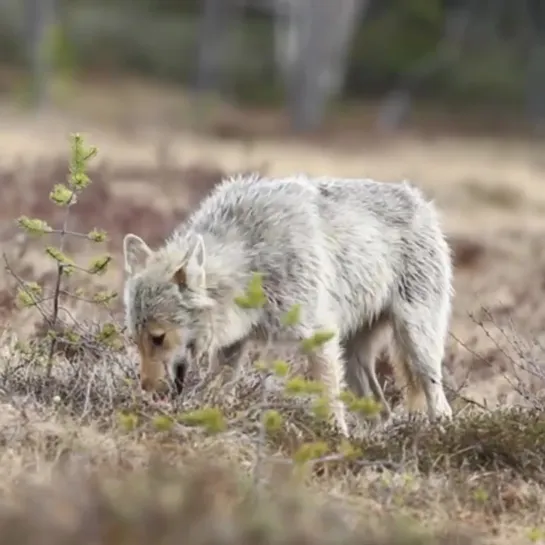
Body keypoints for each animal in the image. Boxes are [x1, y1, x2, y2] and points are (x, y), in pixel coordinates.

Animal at [121, 172, 452, 436]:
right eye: (137, 340)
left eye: (158, 338)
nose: (147, 392)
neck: (252, 259)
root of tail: (421, 202)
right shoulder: (233, 346)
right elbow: (217, 393)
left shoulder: (319, 339)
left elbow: (328, 401)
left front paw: (335, 439)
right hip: (353, 358)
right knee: (382, 411)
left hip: (416, 345)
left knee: (440, 404)